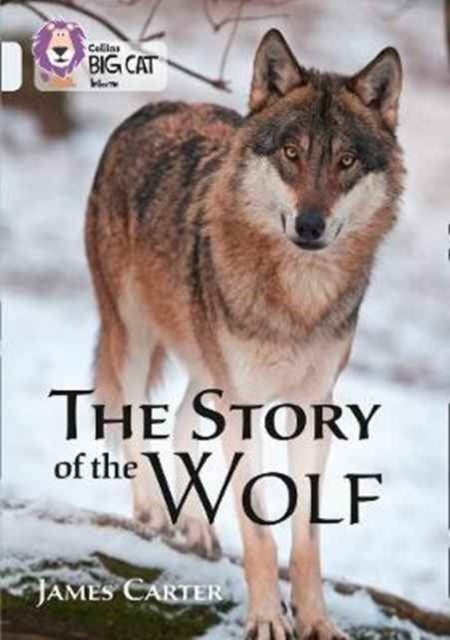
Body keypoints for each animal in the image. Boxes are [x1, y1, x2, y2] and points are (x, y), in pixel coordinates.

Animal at [85, 29, 404, 639]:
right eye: (291, 153)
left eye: (346, 160)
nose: (310, 225)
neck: (298, 299)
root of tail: (153, 107)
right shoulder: (245, 404)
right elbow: (259, 531)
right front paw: (265, 618)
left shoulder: (313, 407)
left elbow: (306, 539)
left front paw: (316, 621)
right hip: (135, 338)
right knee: (136, 419)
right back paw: (152, 511)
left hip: (206, 370)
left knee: (181, 425)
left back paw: (193, 525)